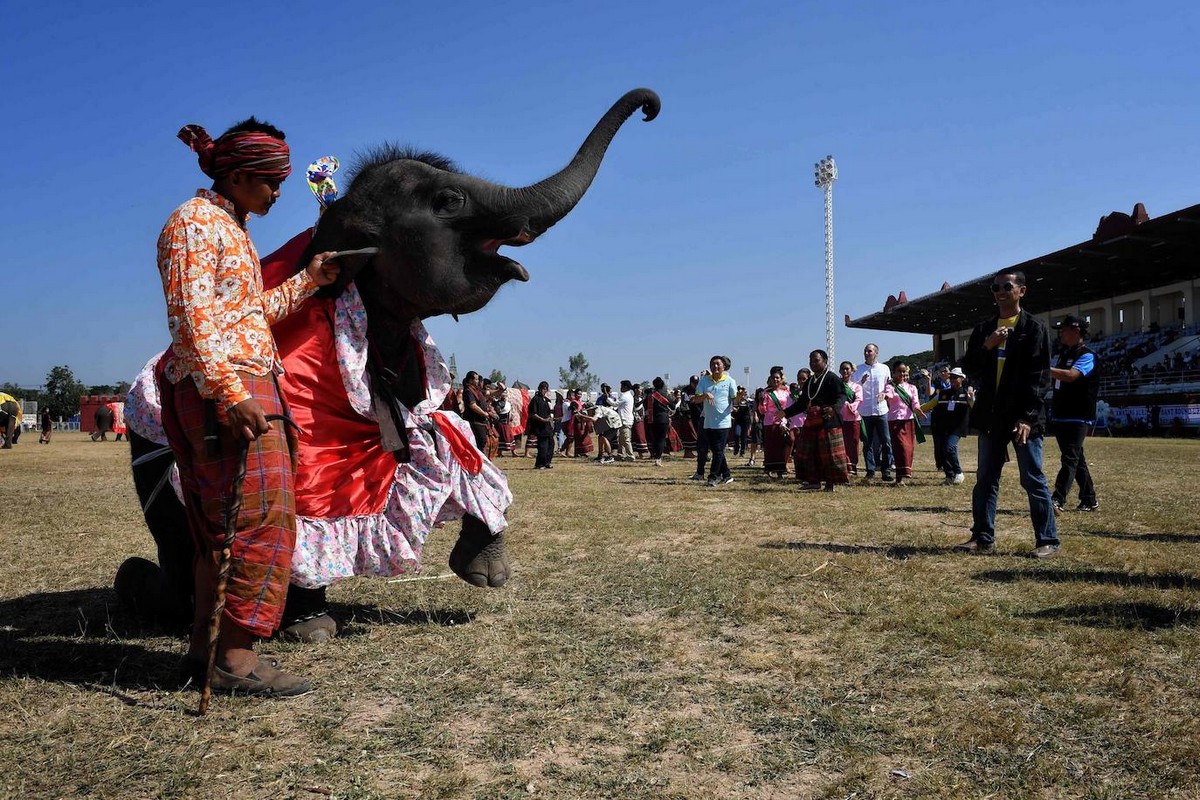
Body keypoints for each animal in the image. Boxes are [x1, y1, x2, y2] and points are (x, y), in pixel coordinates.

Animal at [117, 89, 662, 638]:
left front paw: (486, 575)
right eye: (449, 201)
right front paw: (311, 625)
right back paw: (142, 589)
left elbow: (442, 429)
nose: (650, 108)